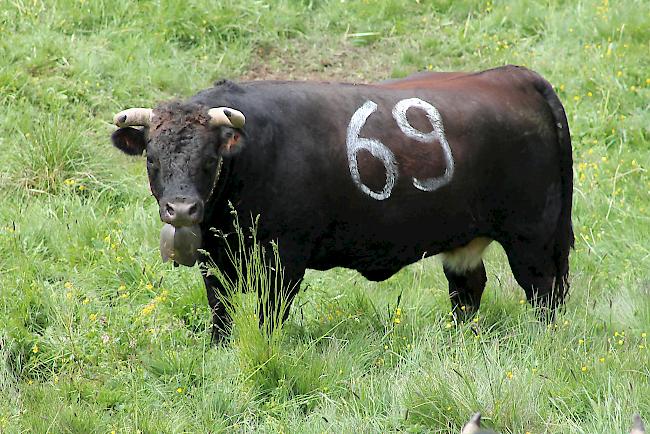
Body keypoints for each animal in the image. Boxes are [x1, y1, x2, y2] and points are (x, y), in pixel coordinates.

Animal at [111, 65, 572, 342]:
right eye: (152, 159)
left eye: (210, 160)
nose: (182, 210)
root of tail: (512, 75)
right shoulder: (214, 259)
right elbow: (220, 310)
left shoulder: (284, 259)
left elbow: (267, 316)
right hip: (467, 238)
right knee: (468, 291)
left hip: (533, 235)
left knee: (544, 292)